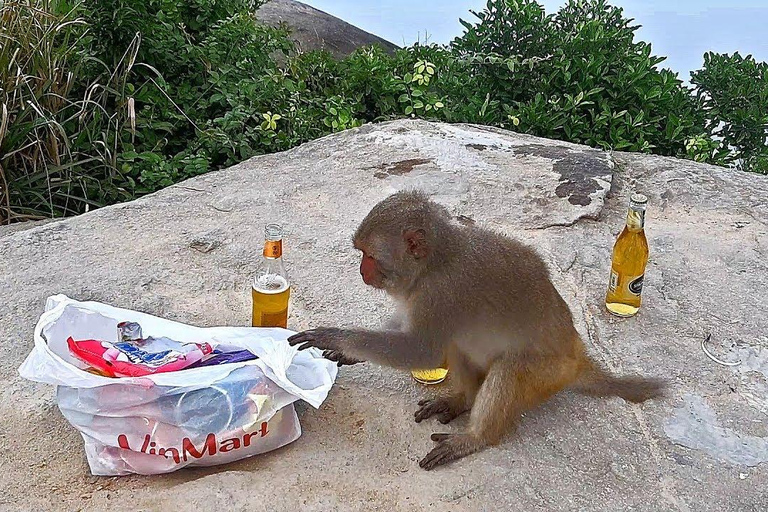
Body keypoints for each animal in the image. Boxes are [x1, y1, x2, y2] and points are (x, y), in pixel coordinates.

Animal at [288, 191, 664, 468]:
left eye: (369, 255)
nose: (361, 271)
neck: (435, 262)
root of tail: (577, 351)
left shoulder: (441, 293)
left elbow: (421, 349)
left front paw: (334, 337)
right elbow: (410, 329)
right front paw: (347, 352)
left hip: (551, 372)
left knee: (509, 368)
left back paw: (476, 437)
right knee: (458, 345)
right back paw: (463, 400)